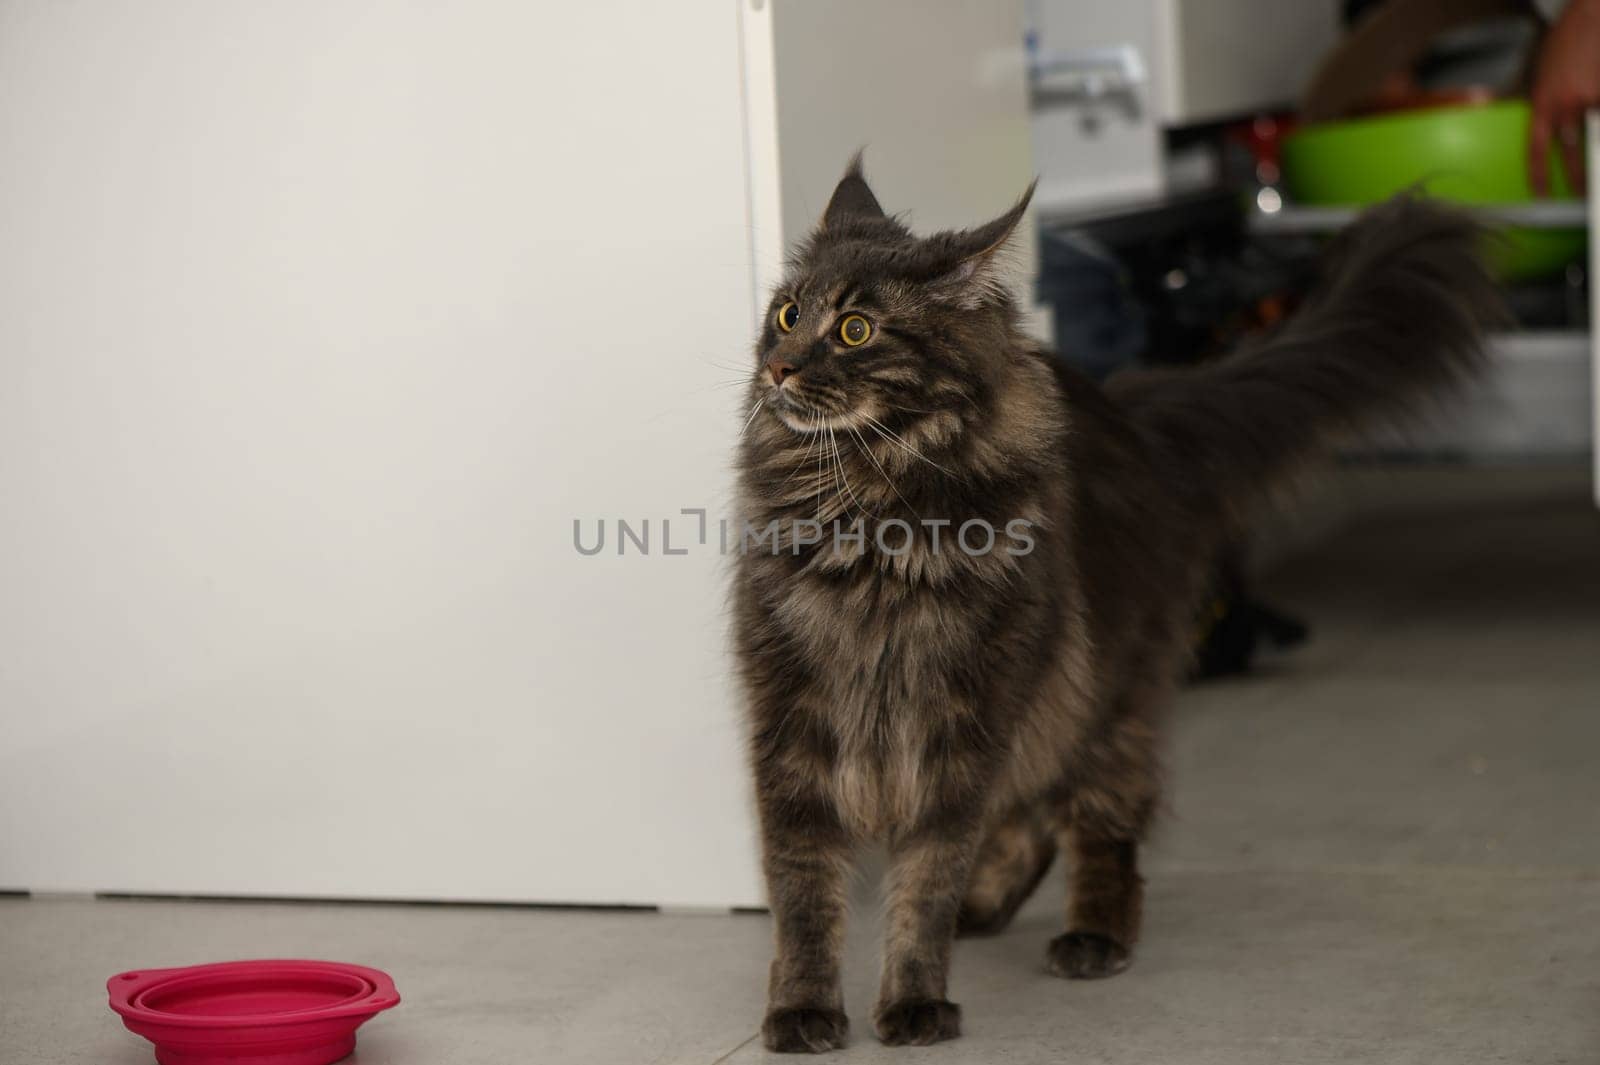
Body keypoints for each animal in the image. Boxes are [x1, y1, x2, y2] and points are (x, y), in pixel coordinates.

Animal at [732, 153, 1491, 1049]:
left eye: (854, 330)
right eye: (786, 313)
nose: (780, 366)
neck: (870, 507)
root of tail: (1137, 418)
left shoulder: (961, 723)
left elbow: (925, 878)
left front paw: (915, 1000)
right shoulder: (793, 721)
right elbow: (804, 891)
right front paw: (802, 1010)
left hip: (1105, 690)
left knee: (1101, 821)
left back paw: (1093, 933)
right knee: (1032, 806)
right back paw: (988, 906)